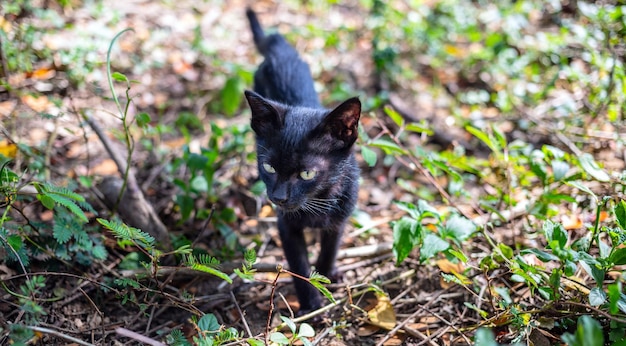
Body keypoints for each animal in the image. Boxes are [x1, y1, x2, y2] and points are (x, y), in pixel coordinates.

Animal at [244, 8, 360, 314]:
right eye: (269, 167)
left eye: (307, 174)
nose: (278, 197)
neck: (317, 203)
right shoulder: (286, 226)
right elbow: (298, 265)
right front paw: (310, 304)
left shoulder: (339, 221)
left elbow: (329, 252)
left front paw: (326, 278)